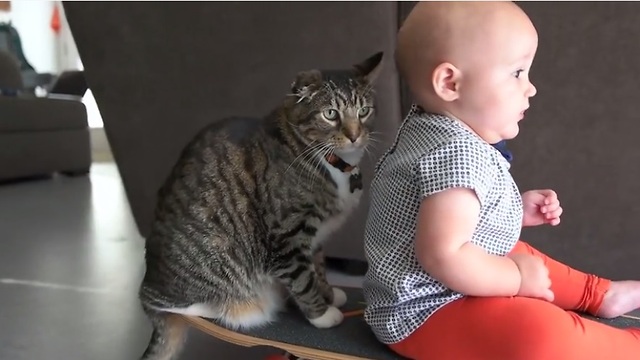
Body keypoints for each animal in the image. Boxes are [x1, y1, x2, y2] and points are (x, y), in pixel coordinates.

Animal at [138, 51, 382, 360]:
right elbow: (303, 278)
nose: (354, 135)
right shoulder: (288, 234)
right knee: (175, 304)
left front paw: (330, 295)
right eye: (330, 114)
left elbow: (318, 267)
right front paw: (322, 314)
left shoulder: (316, 236)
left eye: (364, 111)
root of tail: (149, 282)